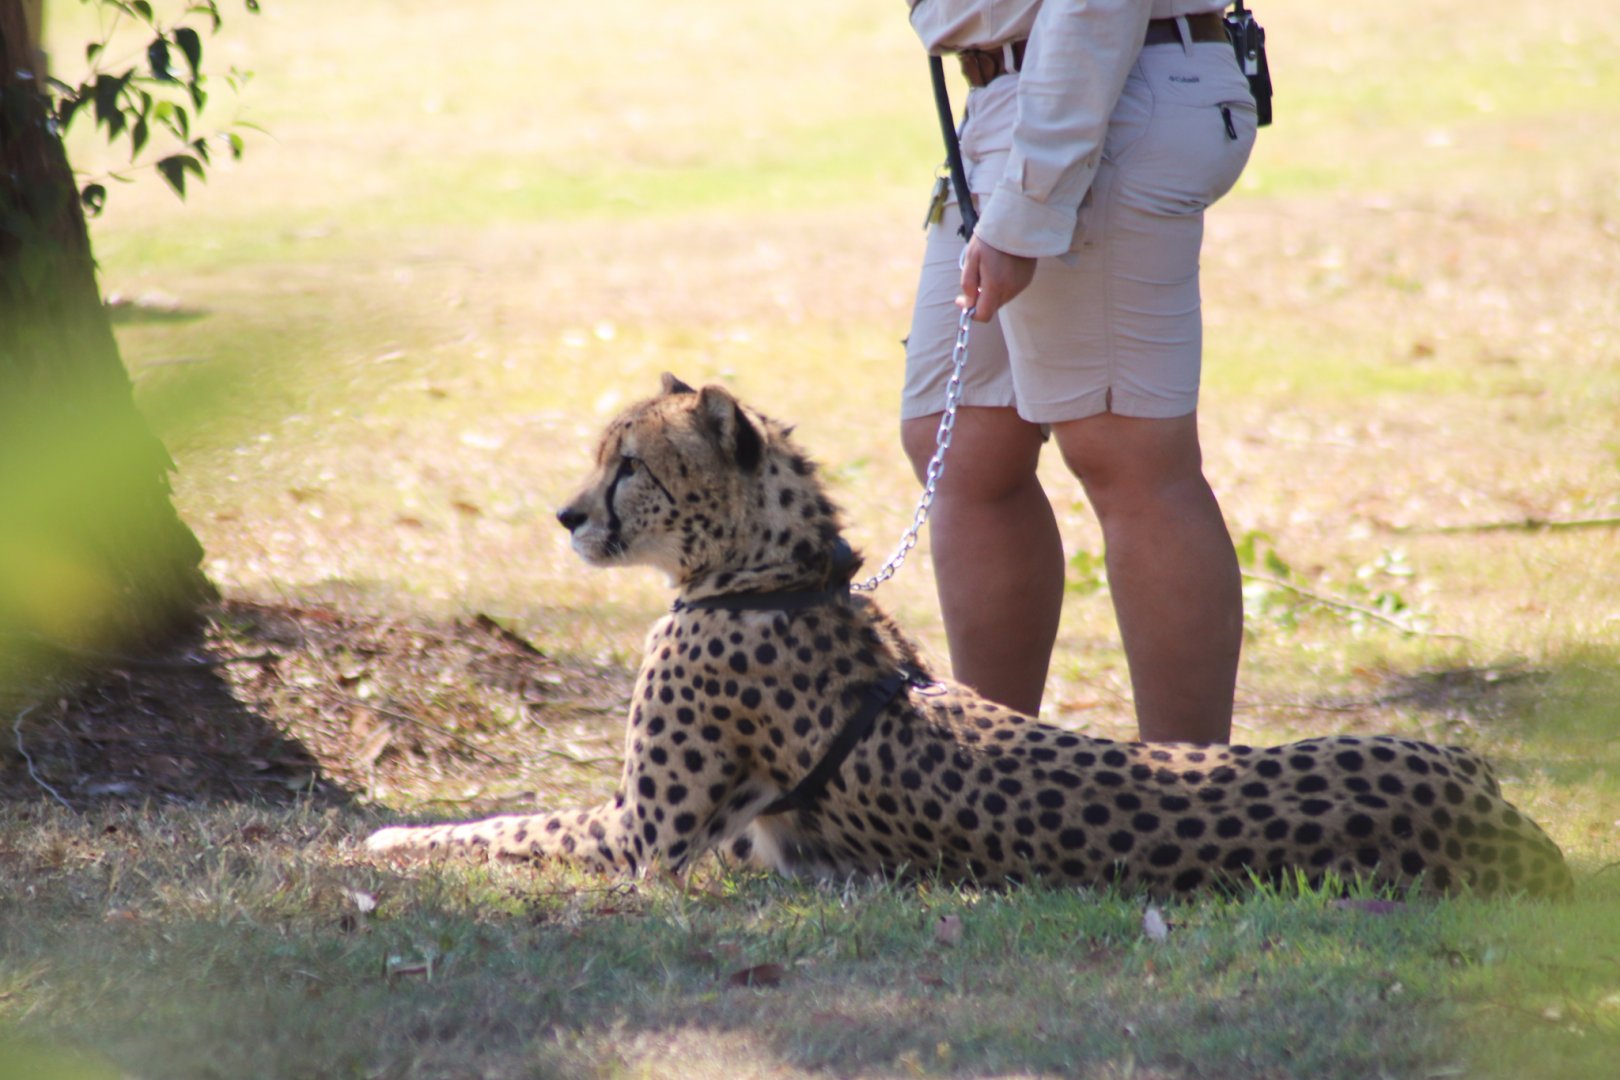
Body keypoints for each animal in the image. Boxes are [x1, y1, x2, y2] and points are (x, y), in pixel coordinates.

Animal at [366, 375, 1572, 898]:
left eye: (629, 466)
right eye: (598, 456)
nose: (567, 517)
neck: (770, 572)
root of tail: (1496, 821)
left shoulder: (642, 839)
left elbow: (507, 826)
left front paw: (385, 841)